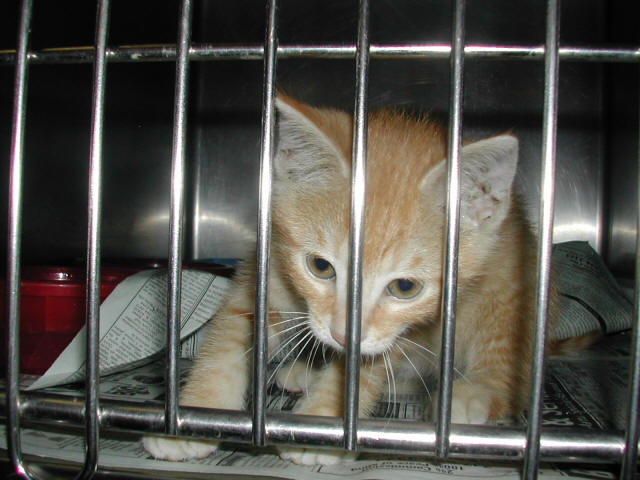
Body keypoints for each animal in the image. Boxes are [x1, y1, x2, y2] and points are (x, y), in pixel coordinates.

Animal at [143, 94, 556, 465]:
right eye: (320, 267)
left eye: (405, 288)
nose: (343, 336)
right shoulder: (267, 264)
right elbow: (229, 337)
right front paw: (189, 419)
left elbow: (364, 370)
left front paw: (321, 426)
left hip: (506, 292)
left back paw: (469, 397)